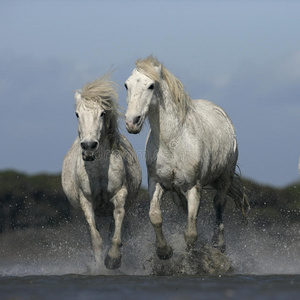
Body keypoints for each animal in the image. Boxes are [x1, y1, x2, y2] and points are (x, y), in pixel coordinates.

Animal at [62, 73, 142, 270]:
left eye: (102, 113)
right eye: (77, 114)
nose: (89, 147)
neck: (98, 171)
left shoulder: (119, 195)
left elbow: (116, 230)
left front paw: (113, 260)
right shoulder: (86, 201)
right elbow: (96, 240)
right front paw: (99, 267)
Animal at [124, 56, 248, 260]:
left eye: (151, 86)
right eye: (127, 85)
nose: (131, 122)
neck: (173, 142)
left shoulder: (193, 187)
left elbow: (190, 233)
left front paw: (189, 258)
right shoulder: (157, 182)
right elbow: (155, 216)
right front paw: (164, 251)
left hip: (225, 178)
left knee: (219, 204)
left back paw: (219, 244)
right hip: (177, 192)